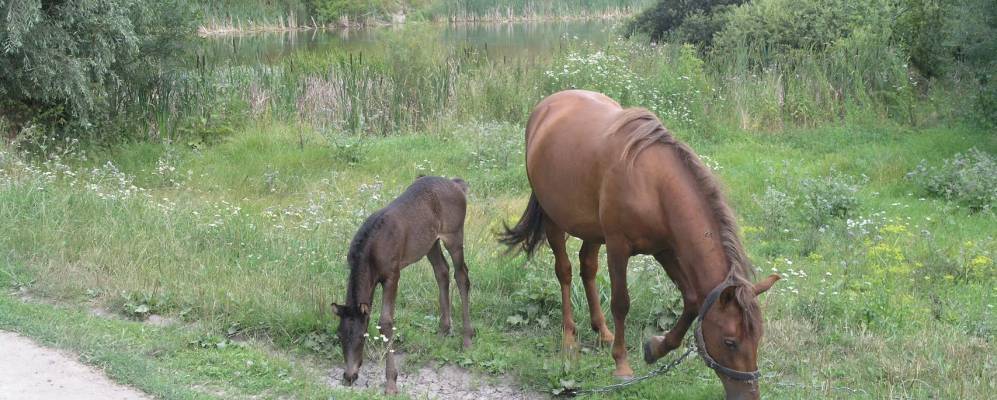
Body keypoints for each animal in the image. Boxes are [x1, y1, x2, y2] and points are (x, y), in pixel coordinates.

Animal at [332, 177, 472, 396]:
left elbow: (386, 322)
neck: (369, 253)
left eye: (362, 337)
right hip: (431, 243)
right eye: (340, 335)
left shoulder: (392, 275)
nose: (349, 376)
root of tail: (458, 185)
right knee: (442, 271)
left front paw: (391, 382)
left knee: (461, 276)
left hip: (454, 235)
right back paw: (443, 330)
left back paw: (467, 338)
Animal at [502, 90, 784, 400]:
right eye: (730, 341)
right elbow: (621, 303)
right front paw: (622, 365)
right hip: (554, 219)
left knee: (587, 268)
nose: (750, 395)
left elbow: (692, 300)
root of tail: (546, 106)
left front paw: (655, 348)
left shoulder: (665, 249)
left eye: (758, 337)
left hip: (592, 230)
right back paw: (569, 337)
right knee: (564, 271)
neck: (653, 185)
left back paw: (603, 331)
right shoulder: (618, 247)